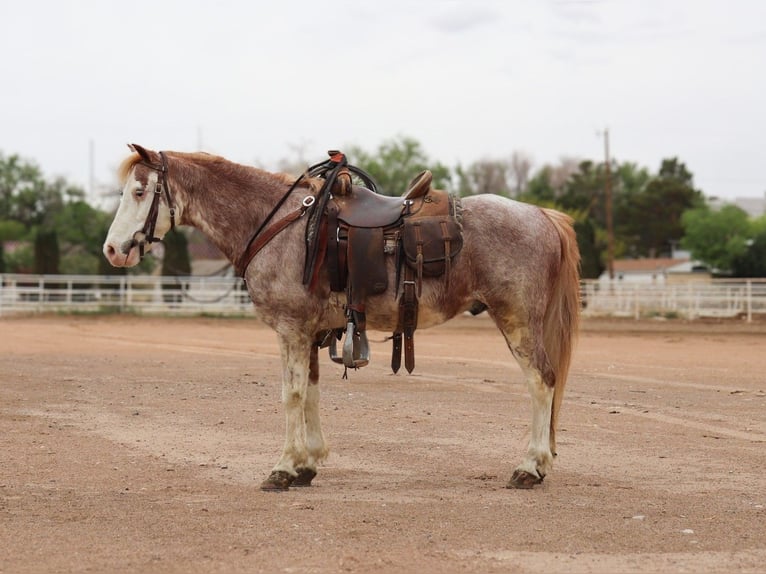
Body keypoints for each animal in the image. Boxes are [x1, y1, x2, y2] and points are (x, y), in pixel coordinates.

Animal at [103, 144, 580, 491]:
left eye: (140, 192)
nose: (112, 249)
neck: (281, 227)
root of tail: (542, 215)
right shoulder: (311, 333)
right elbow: (311, 393)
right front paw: (307, 465)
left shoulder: (291, 331)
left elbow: (291, 395)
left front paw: (282, 469)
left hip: (518, 321)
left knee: (542, 382)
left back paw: (529, 468)